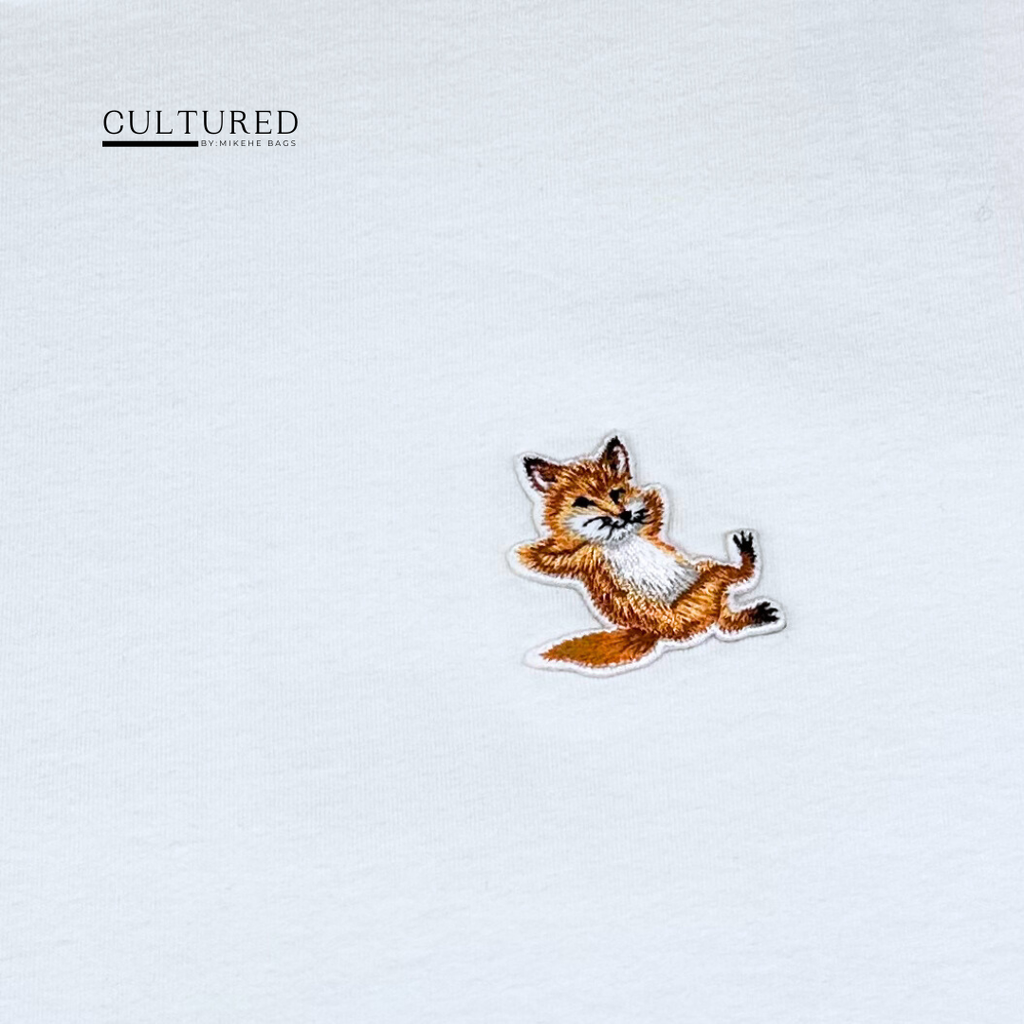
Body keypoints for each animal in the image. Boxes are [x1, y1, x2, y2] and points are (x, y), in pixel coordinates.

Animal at [510, 435, 785, 675]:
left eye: (616, 493)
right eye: (583, 502)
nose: (623, 515)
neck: (619, 540)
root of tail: (655, 633)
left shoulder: (645, 528)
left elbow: (654, 506)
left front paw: (646, 502)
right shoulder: (583, 559)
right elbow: (541, 555)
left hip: (705, 571)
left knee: (729, 616)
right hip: (707, 585)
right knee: (734, 593)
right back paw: (748, 566)